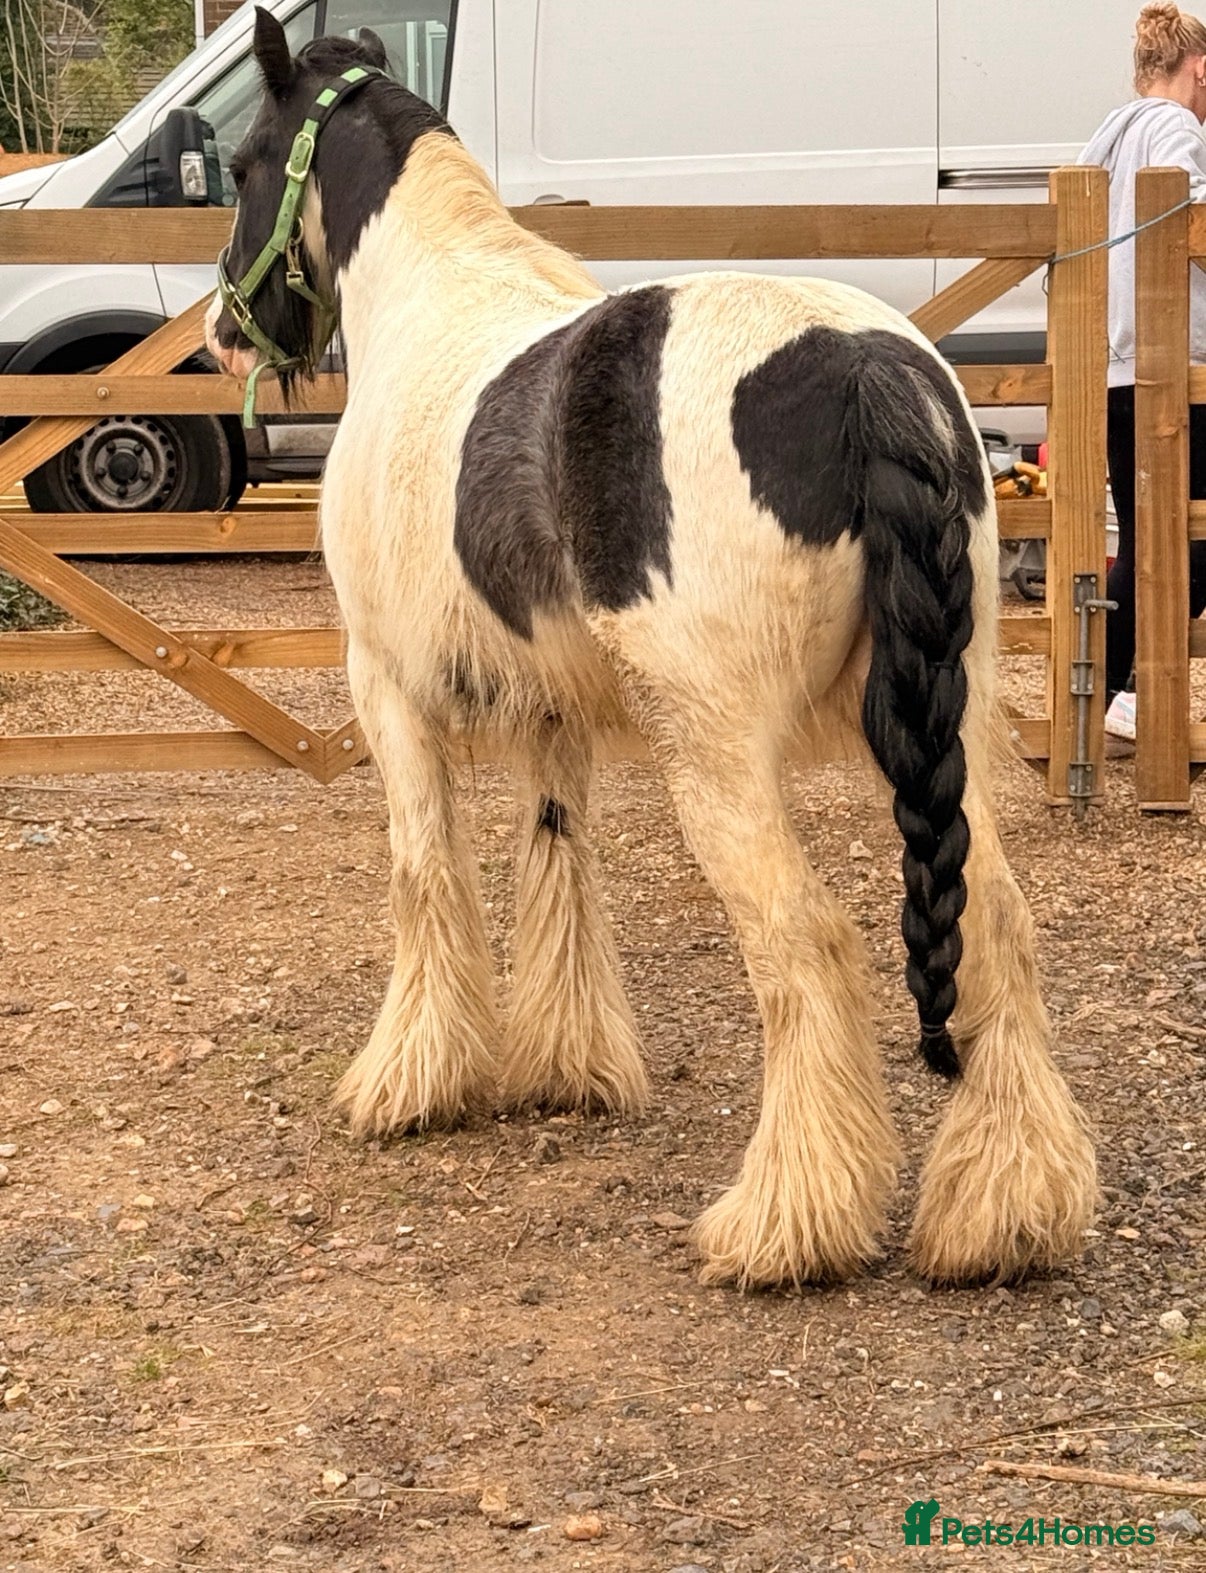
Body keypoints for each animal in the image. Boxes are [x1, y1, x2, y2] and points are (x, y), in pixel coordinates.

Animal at [207, 9, 1097, 1290]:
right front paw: (565, 1067)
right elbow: (556, 862)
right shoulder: (549, 712)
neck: (434, 294)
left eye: (239, 164)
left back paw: (782, 1225)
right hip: (944, 732)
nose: (226, 331)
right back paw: (1001, 1215)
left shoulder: (387, 691)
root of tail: (869, 367)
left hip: (718, 758)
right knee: (992, 928)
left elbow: (426, 873)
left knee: (806, 943)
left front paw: (409, 1083)